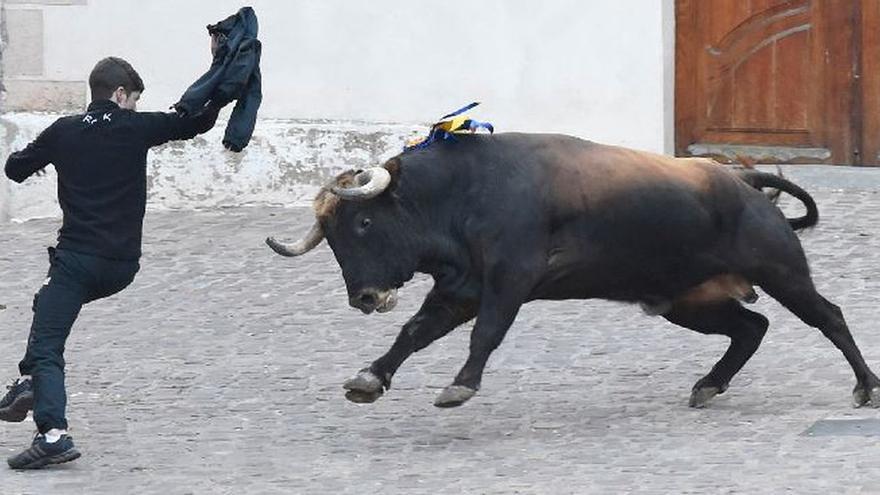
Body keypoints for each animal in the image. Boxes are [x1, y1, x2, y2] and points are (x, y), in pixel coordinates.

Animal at [266, 134, 880, 408]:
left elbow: (486, 333)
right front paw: (369, 378)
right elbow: (415, 332)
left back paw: (866, 386)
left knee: (828, 316)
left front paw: (459, 387)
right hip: (687, 302)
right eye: (331, 238)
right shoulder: (459, 290)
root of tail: (742, 181)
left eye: (364, 222)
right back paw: (709, 384)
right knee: (752, 328)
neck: (462, 194)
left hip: (782, 273)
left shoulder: (509, 281)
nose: (364, 297)